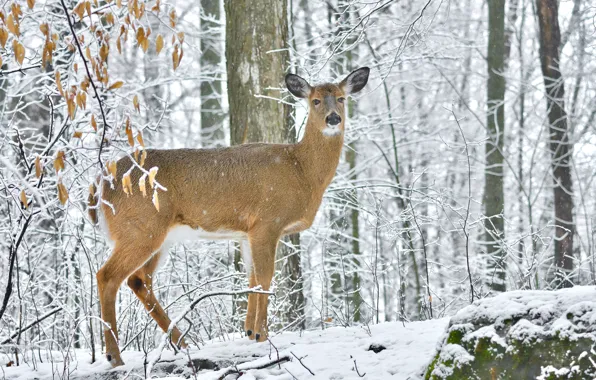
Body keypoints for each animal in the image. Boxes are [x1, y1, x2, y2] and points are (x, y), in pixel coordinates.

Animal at [88, 67, 368, 366]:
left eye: (341, 98)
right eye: (315, 100)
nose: (333, 118)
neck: (300, 169)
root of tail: (100, 182)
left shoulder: (247, 232)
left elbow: (252, 277)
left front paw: (249, 332)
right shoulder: (267, 221)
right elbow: (266, 276)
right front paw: (262, 335)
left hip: (159, 236)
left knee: (139, 280)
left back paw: (183, 343)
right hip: (139, 228)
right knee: (108, 276)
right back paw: (115, 355)